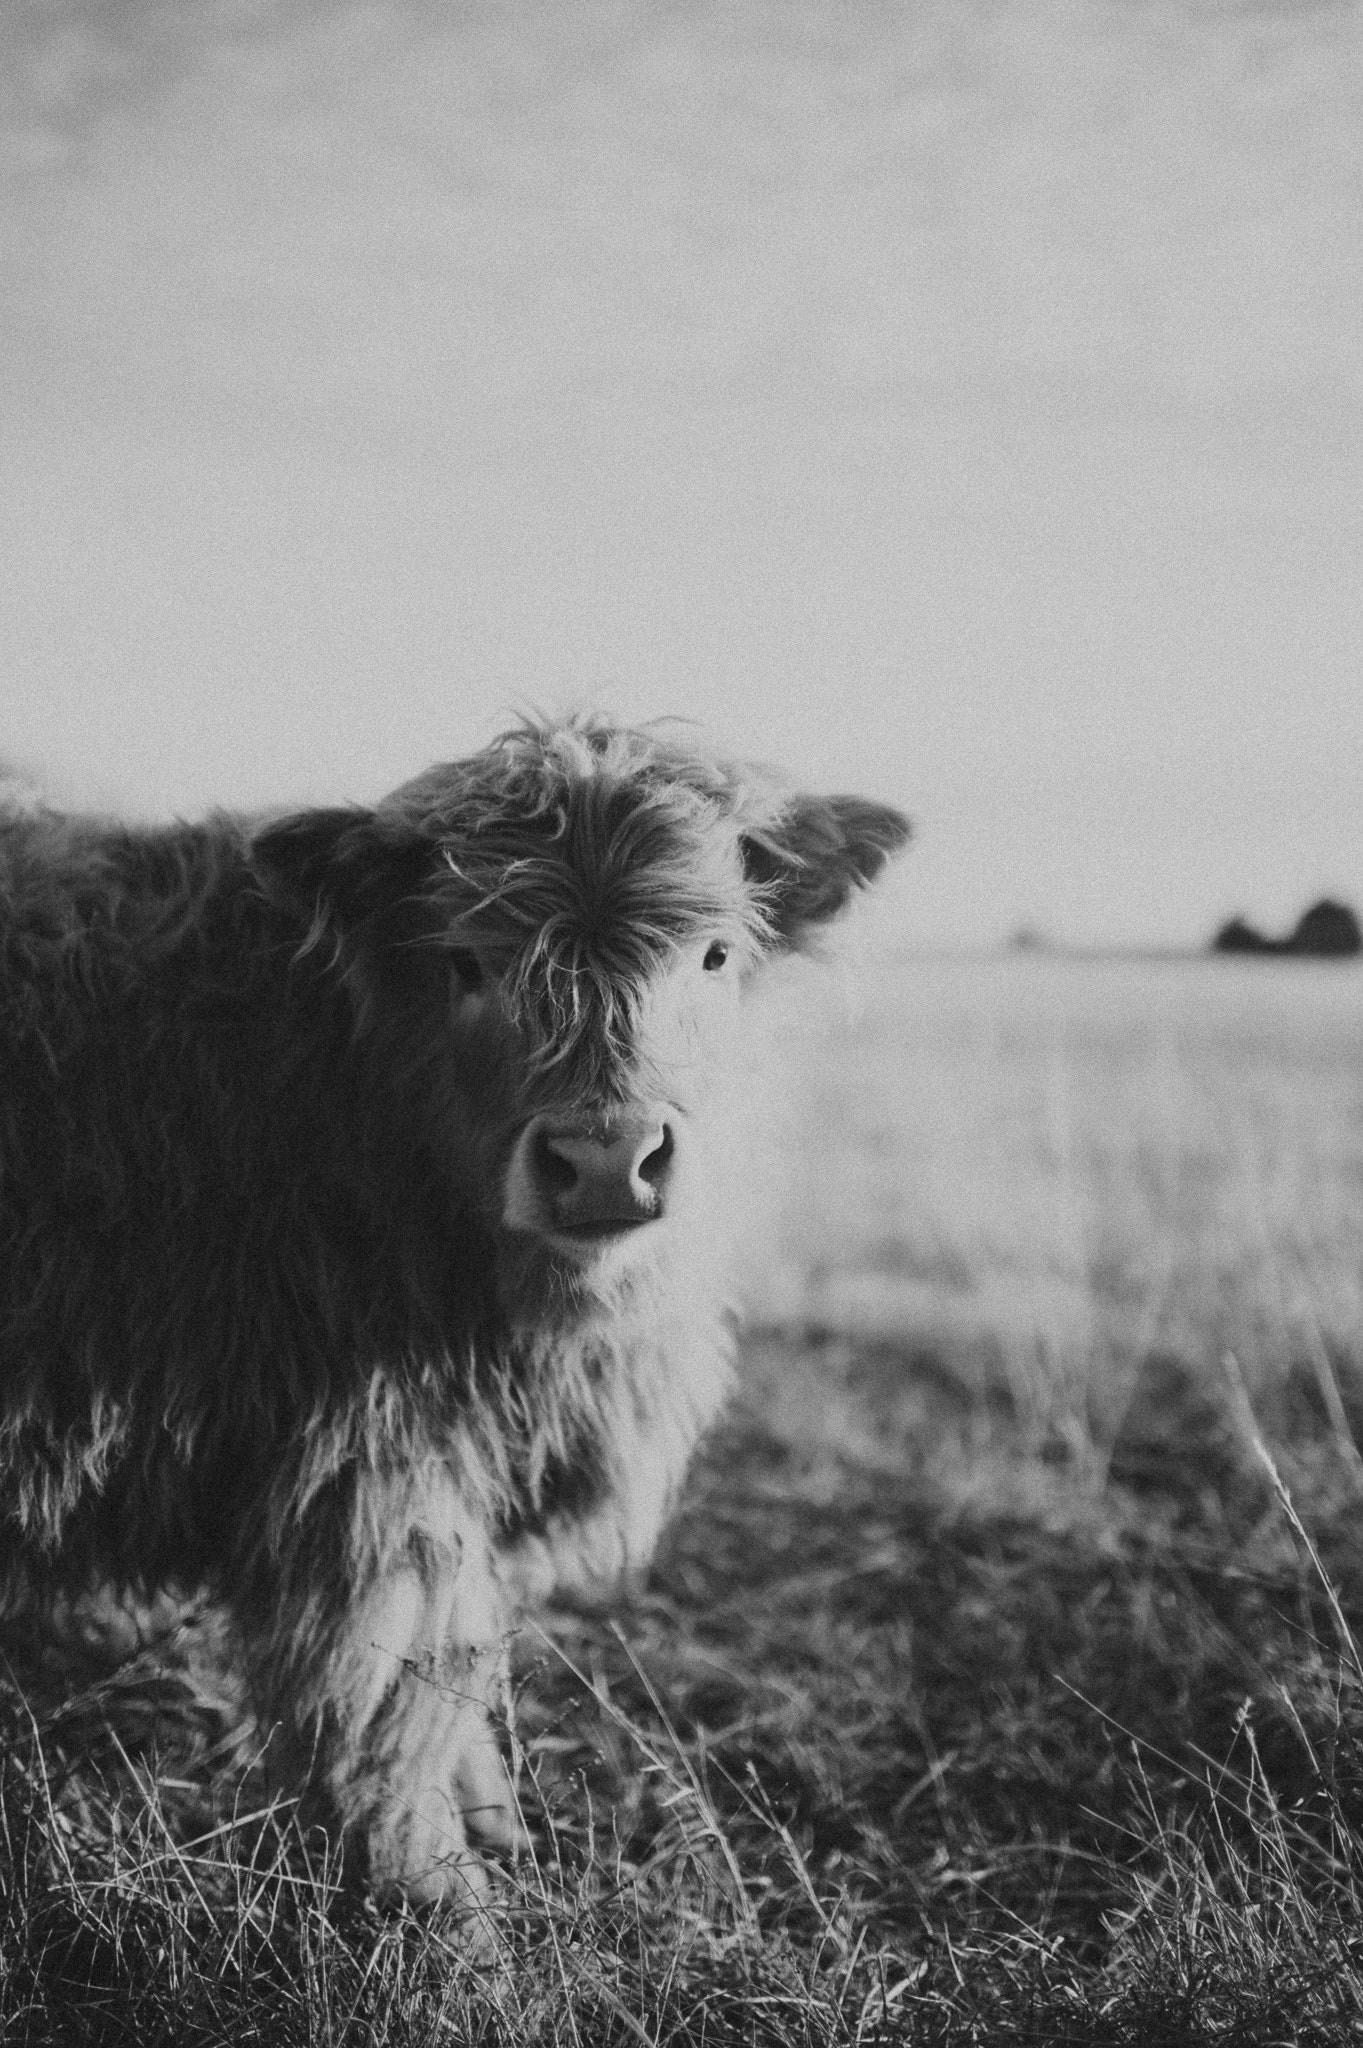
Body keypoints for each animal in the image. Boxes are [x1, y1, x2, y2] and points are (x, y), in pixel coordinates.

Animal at [0, 715, 909, 1908]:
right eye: (467, 964)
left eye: (713, 956)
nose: (606, 1159)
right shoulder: (365, 1465)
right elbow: (395, 1693)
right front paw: (438, 1900)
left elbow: (459, 1652)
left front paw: (494, 1825)